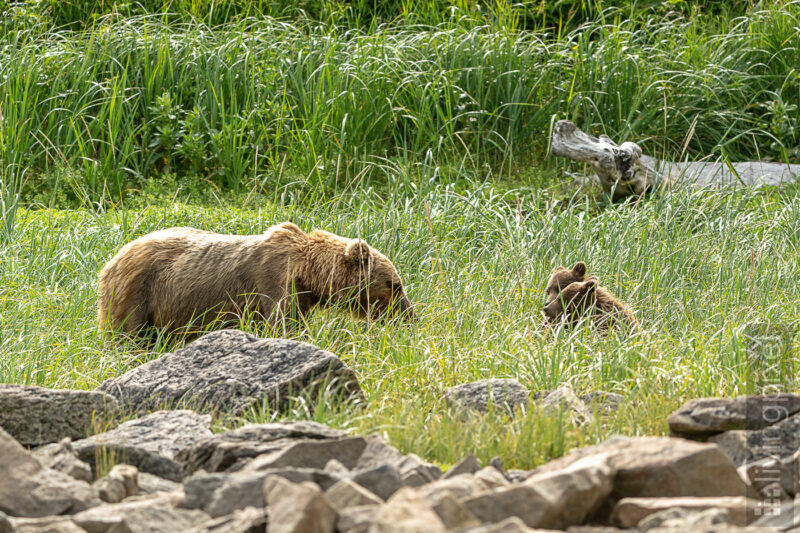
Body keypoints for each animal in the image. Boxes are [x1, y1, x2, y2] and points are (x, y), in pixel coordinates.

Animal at [97, 220, 416, 332]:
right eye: (395, 285)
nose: (410, 314)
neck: (309, 273)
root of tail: (110, 260)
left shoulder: (301, 297)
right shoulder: (274, 281)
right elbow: (282, 324)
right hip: (138, 291)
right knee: (128, 334)